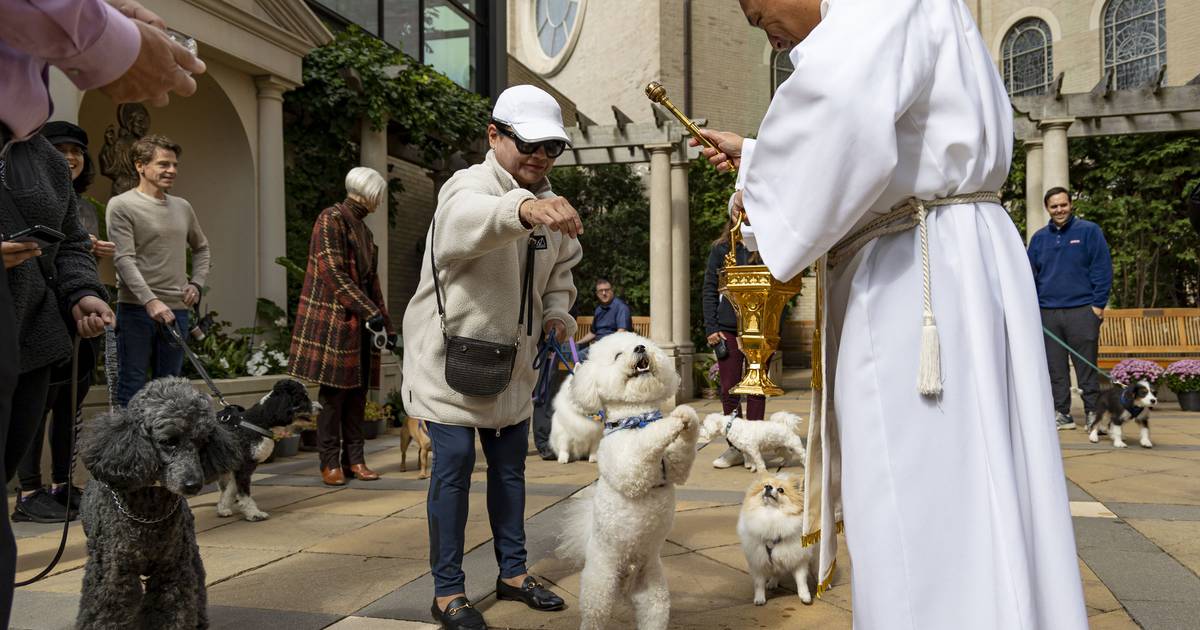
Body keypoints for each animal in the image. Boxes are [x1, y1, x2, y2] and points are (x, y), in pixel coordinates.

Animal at [217, 376, 319, 518]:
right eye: (303, 397)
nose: (321, 408)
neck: (259, 421)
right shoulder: (245, 466)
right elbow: (244, 493)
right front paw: (254, 513)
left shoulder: (237, 467)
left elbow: (230, 490)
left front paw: (223, 508)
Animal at [554, 331, 700, 624]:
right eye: (617, 355)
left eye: (639, 343)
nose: (640, 348)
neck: (636, 417)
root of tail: (627, 572)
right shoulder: (630, 468)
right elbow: (649, 438)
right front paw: (667, 423)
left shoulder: (676, 466)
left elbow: (682, 453)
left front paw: (687, 417)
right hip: (600, 584)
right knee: (594, 615)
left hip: (653, 590)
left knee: (653, 614)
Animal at [739, 470, 816, 604]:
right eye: (765, 485)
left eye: (781, 490)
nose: (768, 487)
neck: (771, 514)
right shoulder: (758, 560)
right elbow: (759, 583)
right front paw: (759, 599)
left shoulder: (798, 558)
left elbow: (801, 581)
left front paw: (805, 596)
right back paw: (772, 583)